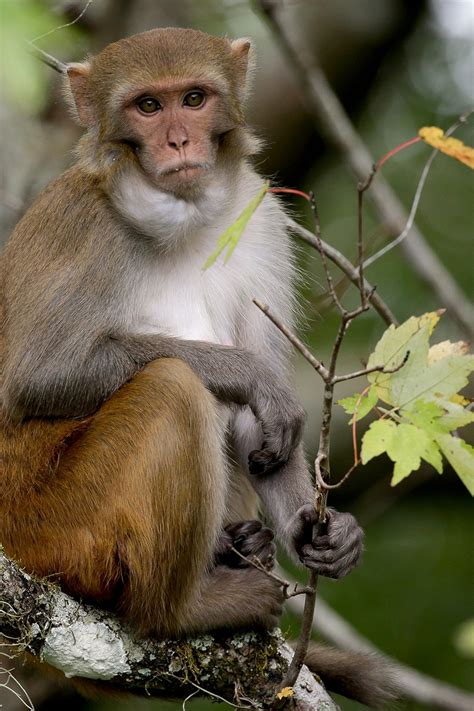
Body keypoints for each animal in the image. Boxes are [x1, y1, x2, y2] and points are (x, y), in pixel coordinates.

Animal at [0, 28, 395, 707]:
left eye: (193, 98)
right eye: (147, 107)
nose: (179, 141)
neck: (179, 218)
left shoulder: (261, 224)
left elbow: (264, 435)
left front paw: (322, 533)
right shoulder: (85, 226)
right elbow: (38, 377)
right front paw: (248, 374)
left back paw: (241, 548)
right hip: (52, 528)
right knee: (172, 388)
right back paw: (183, 610)